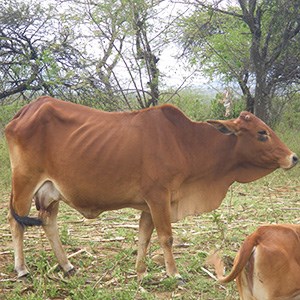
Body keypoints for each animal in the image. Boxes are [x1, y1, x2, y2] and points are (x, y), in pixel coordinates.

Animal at [5, 96, 298, 278]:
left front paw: (141, 271)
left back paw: (67, 266)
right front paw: (174, 273)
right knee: (15, 222)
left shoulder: (148, 203)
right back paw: (22, 269)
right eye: (262, 133)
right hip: (24, 182)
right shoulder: (159, 197)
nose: (293, 157)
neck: (187, 143)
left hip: (51, 192)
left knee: (48, 223)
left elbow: (144, 236)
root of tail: (26, 110)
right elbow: (166, 236)